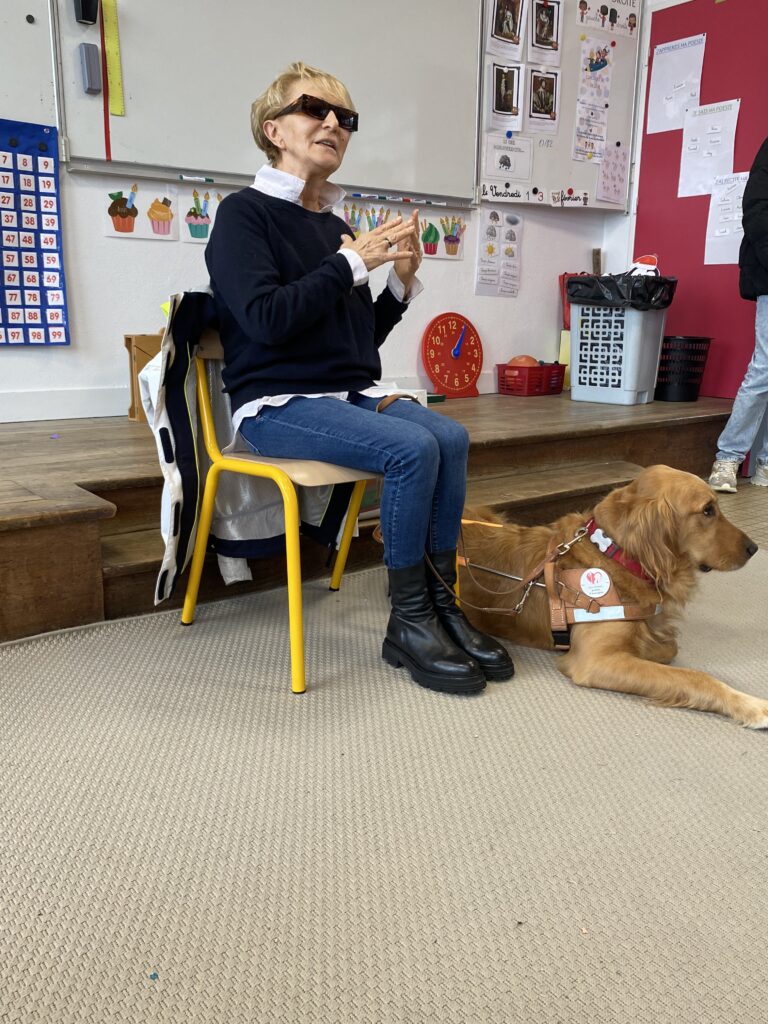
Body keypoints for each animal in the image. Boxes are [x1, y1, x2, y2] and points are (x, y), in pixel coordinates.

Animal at [458, 465, 765, 728]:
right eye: (707, 511)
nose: (754, 548)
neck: (615, 555)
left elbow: (668, 646)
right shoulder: (595, 661)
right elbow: (694, 677)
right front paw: (754, 707)